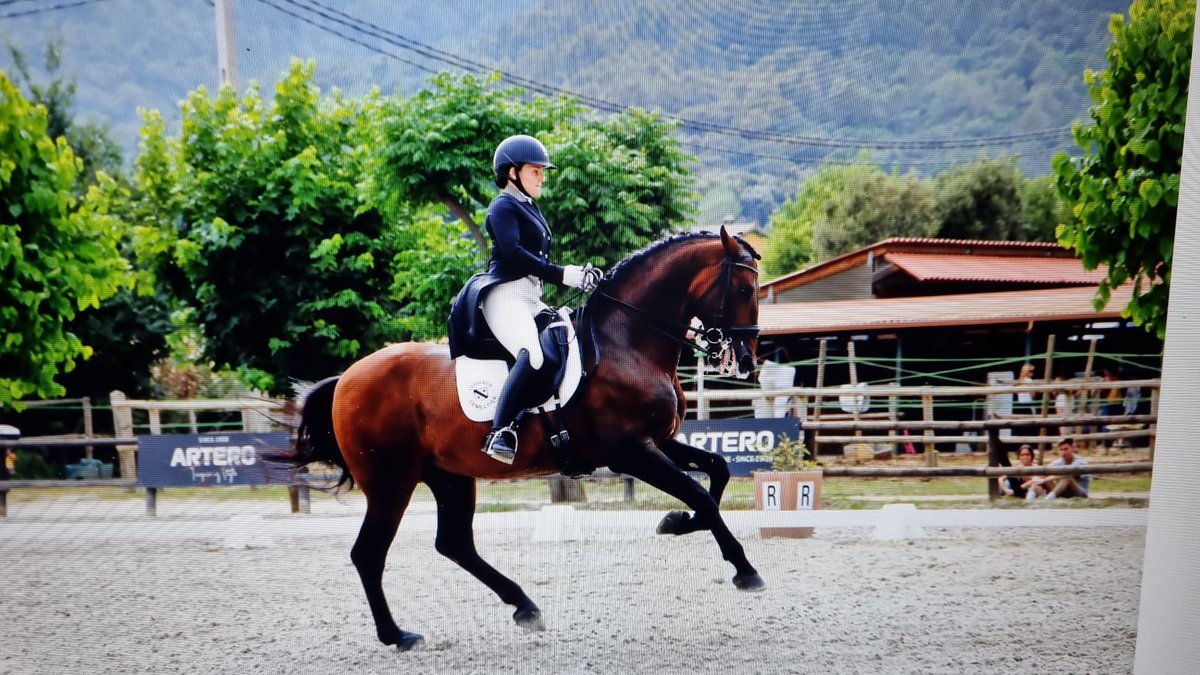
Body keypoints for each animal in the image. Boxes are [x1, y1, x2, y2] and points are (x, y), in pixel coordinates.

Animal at [283, 227, 764, 651]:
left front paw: (676, 523)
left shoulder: (659, 443)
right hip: (391, 483)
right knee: (370, 553)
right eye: (743, 290)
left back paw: (524, 606)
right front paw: (744, 570)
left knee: (454, 543)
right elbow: (701, 496)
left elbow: (718, 473)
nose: (745, 361)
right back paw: (397, 636)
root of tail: (346, 378)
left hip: (448, 476)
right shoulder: (632, 453)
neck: (627, 343)